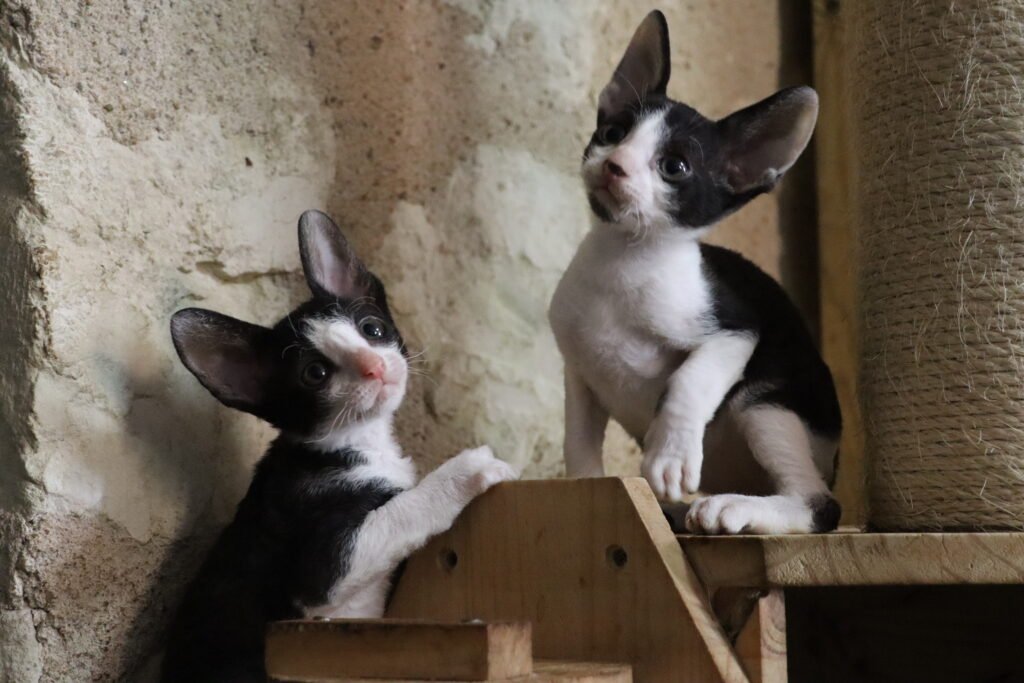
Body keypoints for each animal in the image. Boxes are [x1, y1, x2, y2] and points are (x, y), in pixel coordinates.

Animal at [162, 209, 516, 683]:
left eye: (372, 329)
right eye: (315, 373)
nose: (374, 366)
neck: (355, 443)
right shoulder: (319, 576)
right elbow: (403, 510)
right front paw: (466, 470)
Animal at [552, 7, 839, 536]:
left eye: (674, 166)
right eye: (613, 133)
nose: (615, 165)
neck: (626, 257)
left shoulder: (737, 329)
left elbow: (690, 380)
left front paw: (668, 457)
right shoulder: (579, 371)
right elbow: (578, 439)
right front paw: (585, 487)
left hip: (767, 403)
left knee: (821, 504)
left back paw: (735, 507)